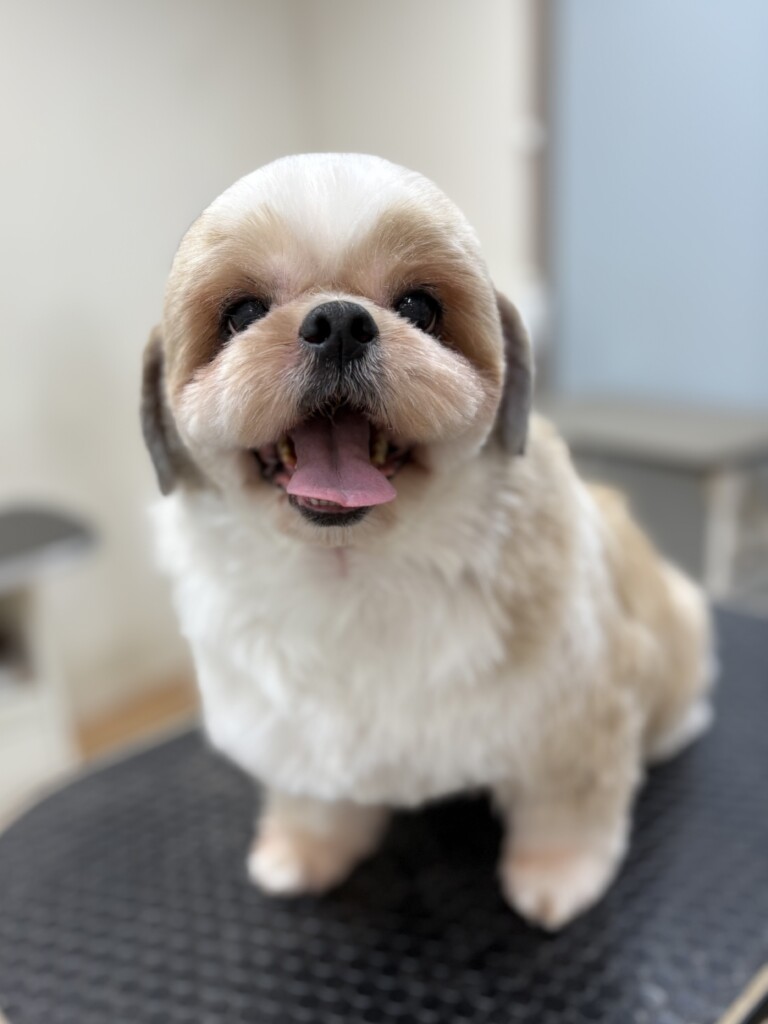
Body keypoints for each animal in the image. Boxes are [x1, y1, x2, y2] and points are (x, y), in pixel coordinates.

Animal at [141, 153, 714, 930]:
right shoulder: (300, 734)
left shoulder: (576, 712)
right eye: (243, 314)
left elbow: (567, 805)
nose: (340, 320)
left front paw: (558, 875)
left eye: (419, 307)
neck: (354, 573)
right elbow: (317, 800)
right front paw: (306, 848)